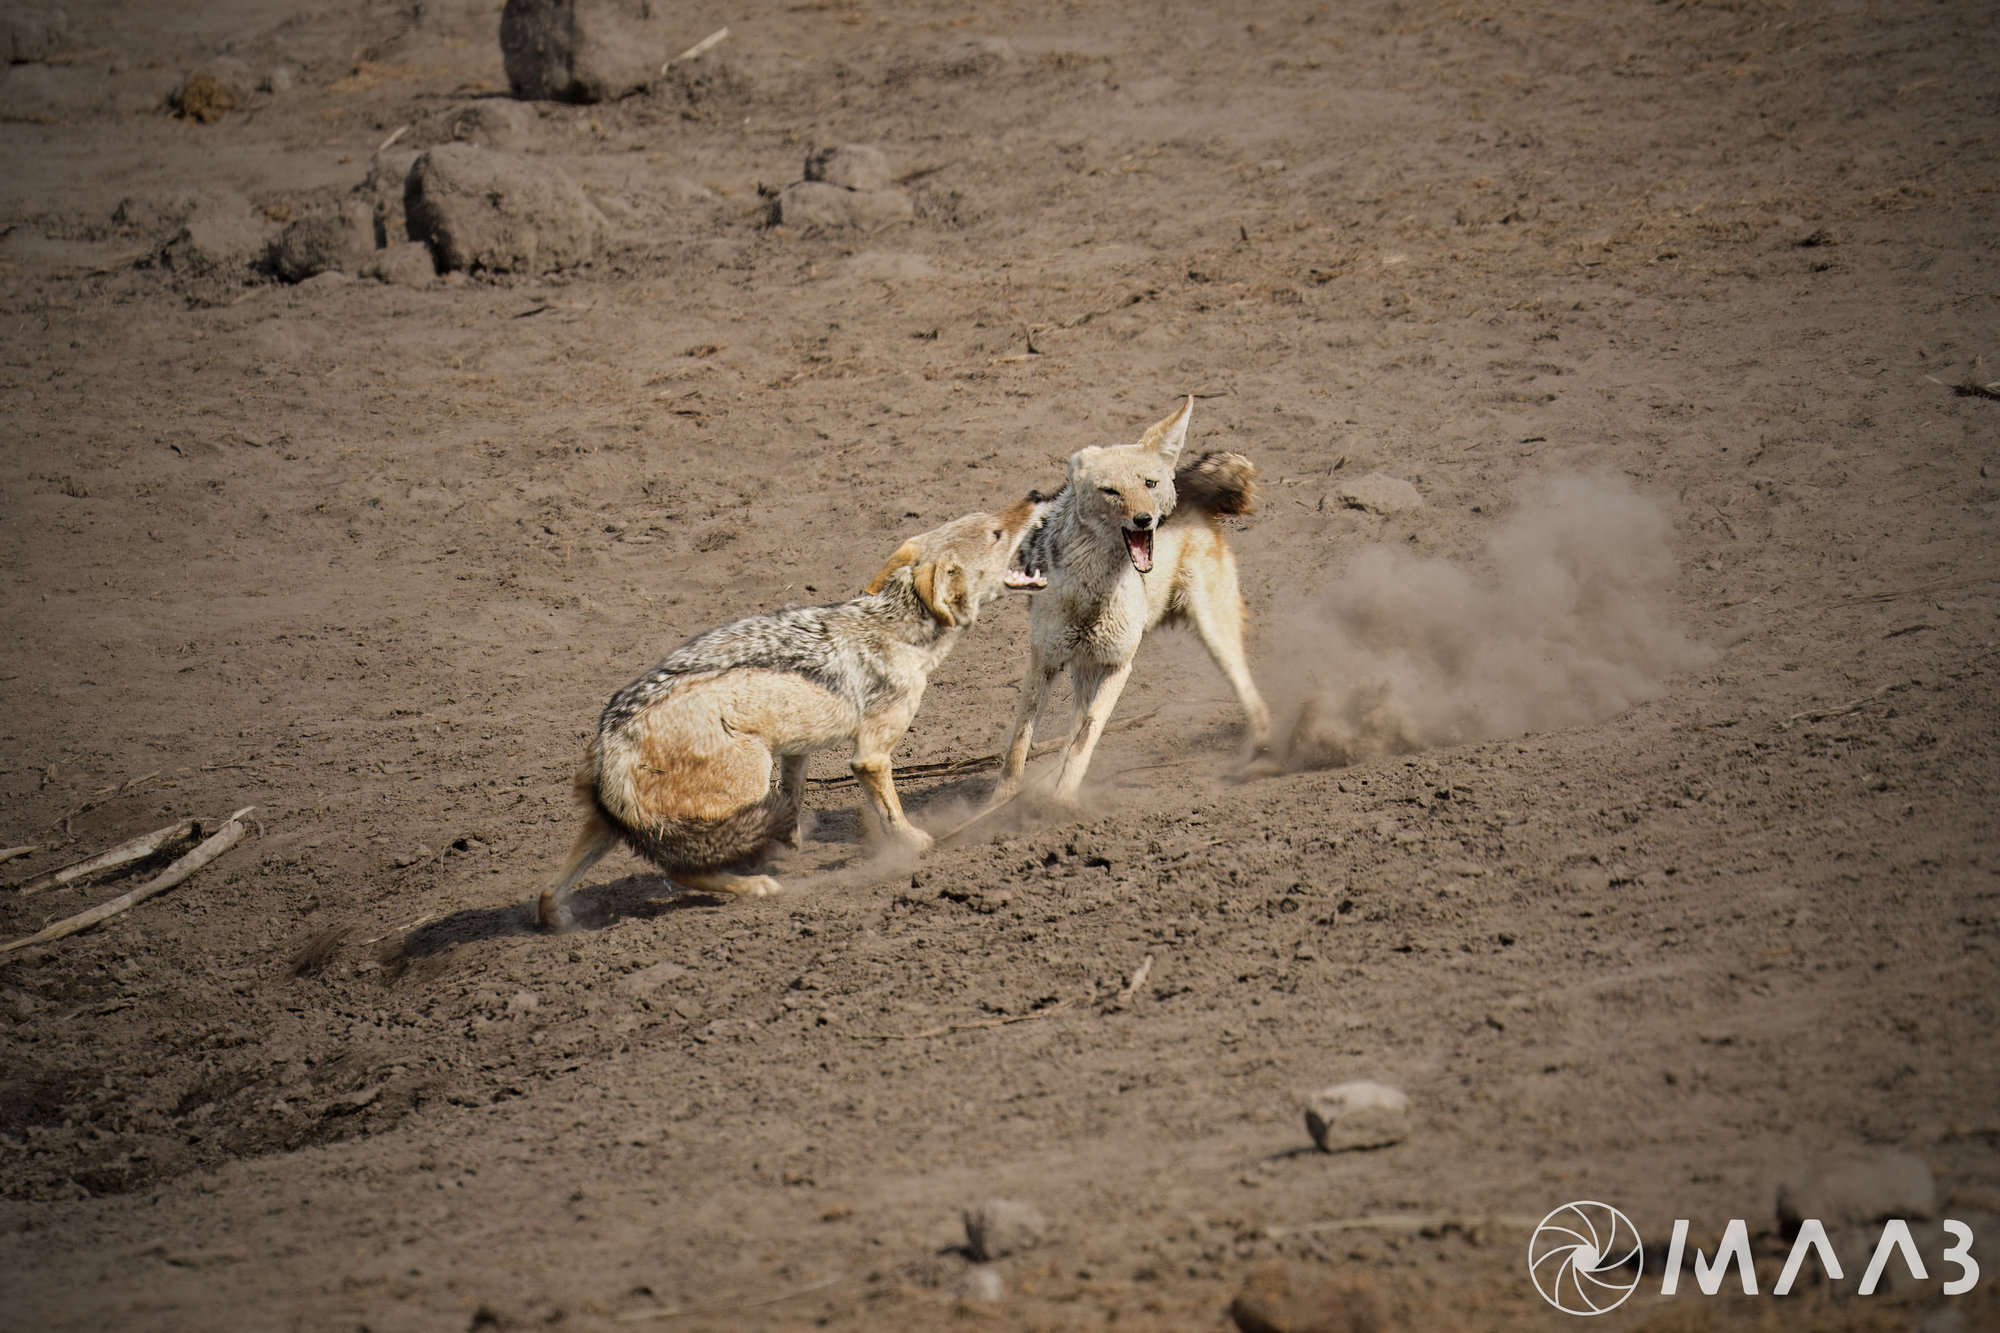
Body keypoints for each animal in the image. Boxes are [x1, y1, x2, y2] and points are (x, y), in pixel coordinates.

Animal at [537, 497, 1048, 928]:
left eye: (992, 516)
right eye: (997, 532)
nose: (1037, 494)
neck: (896, 627)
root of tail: (612, 733)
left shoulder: (797, 749)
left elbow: (795, 798)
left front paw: (790, 844)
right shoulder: (870, 756)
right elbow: (892, 813)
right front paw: (914, 846)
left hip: (608, 828)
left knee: (548, 889)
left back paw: (556, 919)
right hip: (746, 776)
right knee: (678, 871)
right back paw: (757, 887)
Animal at [987, 396, 1271, 809]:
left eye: (1148, 483)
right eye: (1111, 491)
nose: (1145, 519)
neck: (1093, 591)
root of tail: (1189, 488)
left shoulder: (1118, 665)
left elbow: (1085, 739)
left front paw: (1062, 801)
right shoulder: (1045, 663)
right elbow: (1018, 748)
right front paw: (996, 806)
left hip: (1214, 637)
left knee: (1252, 697)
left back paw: (1266, 754)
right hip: (1083, 667)